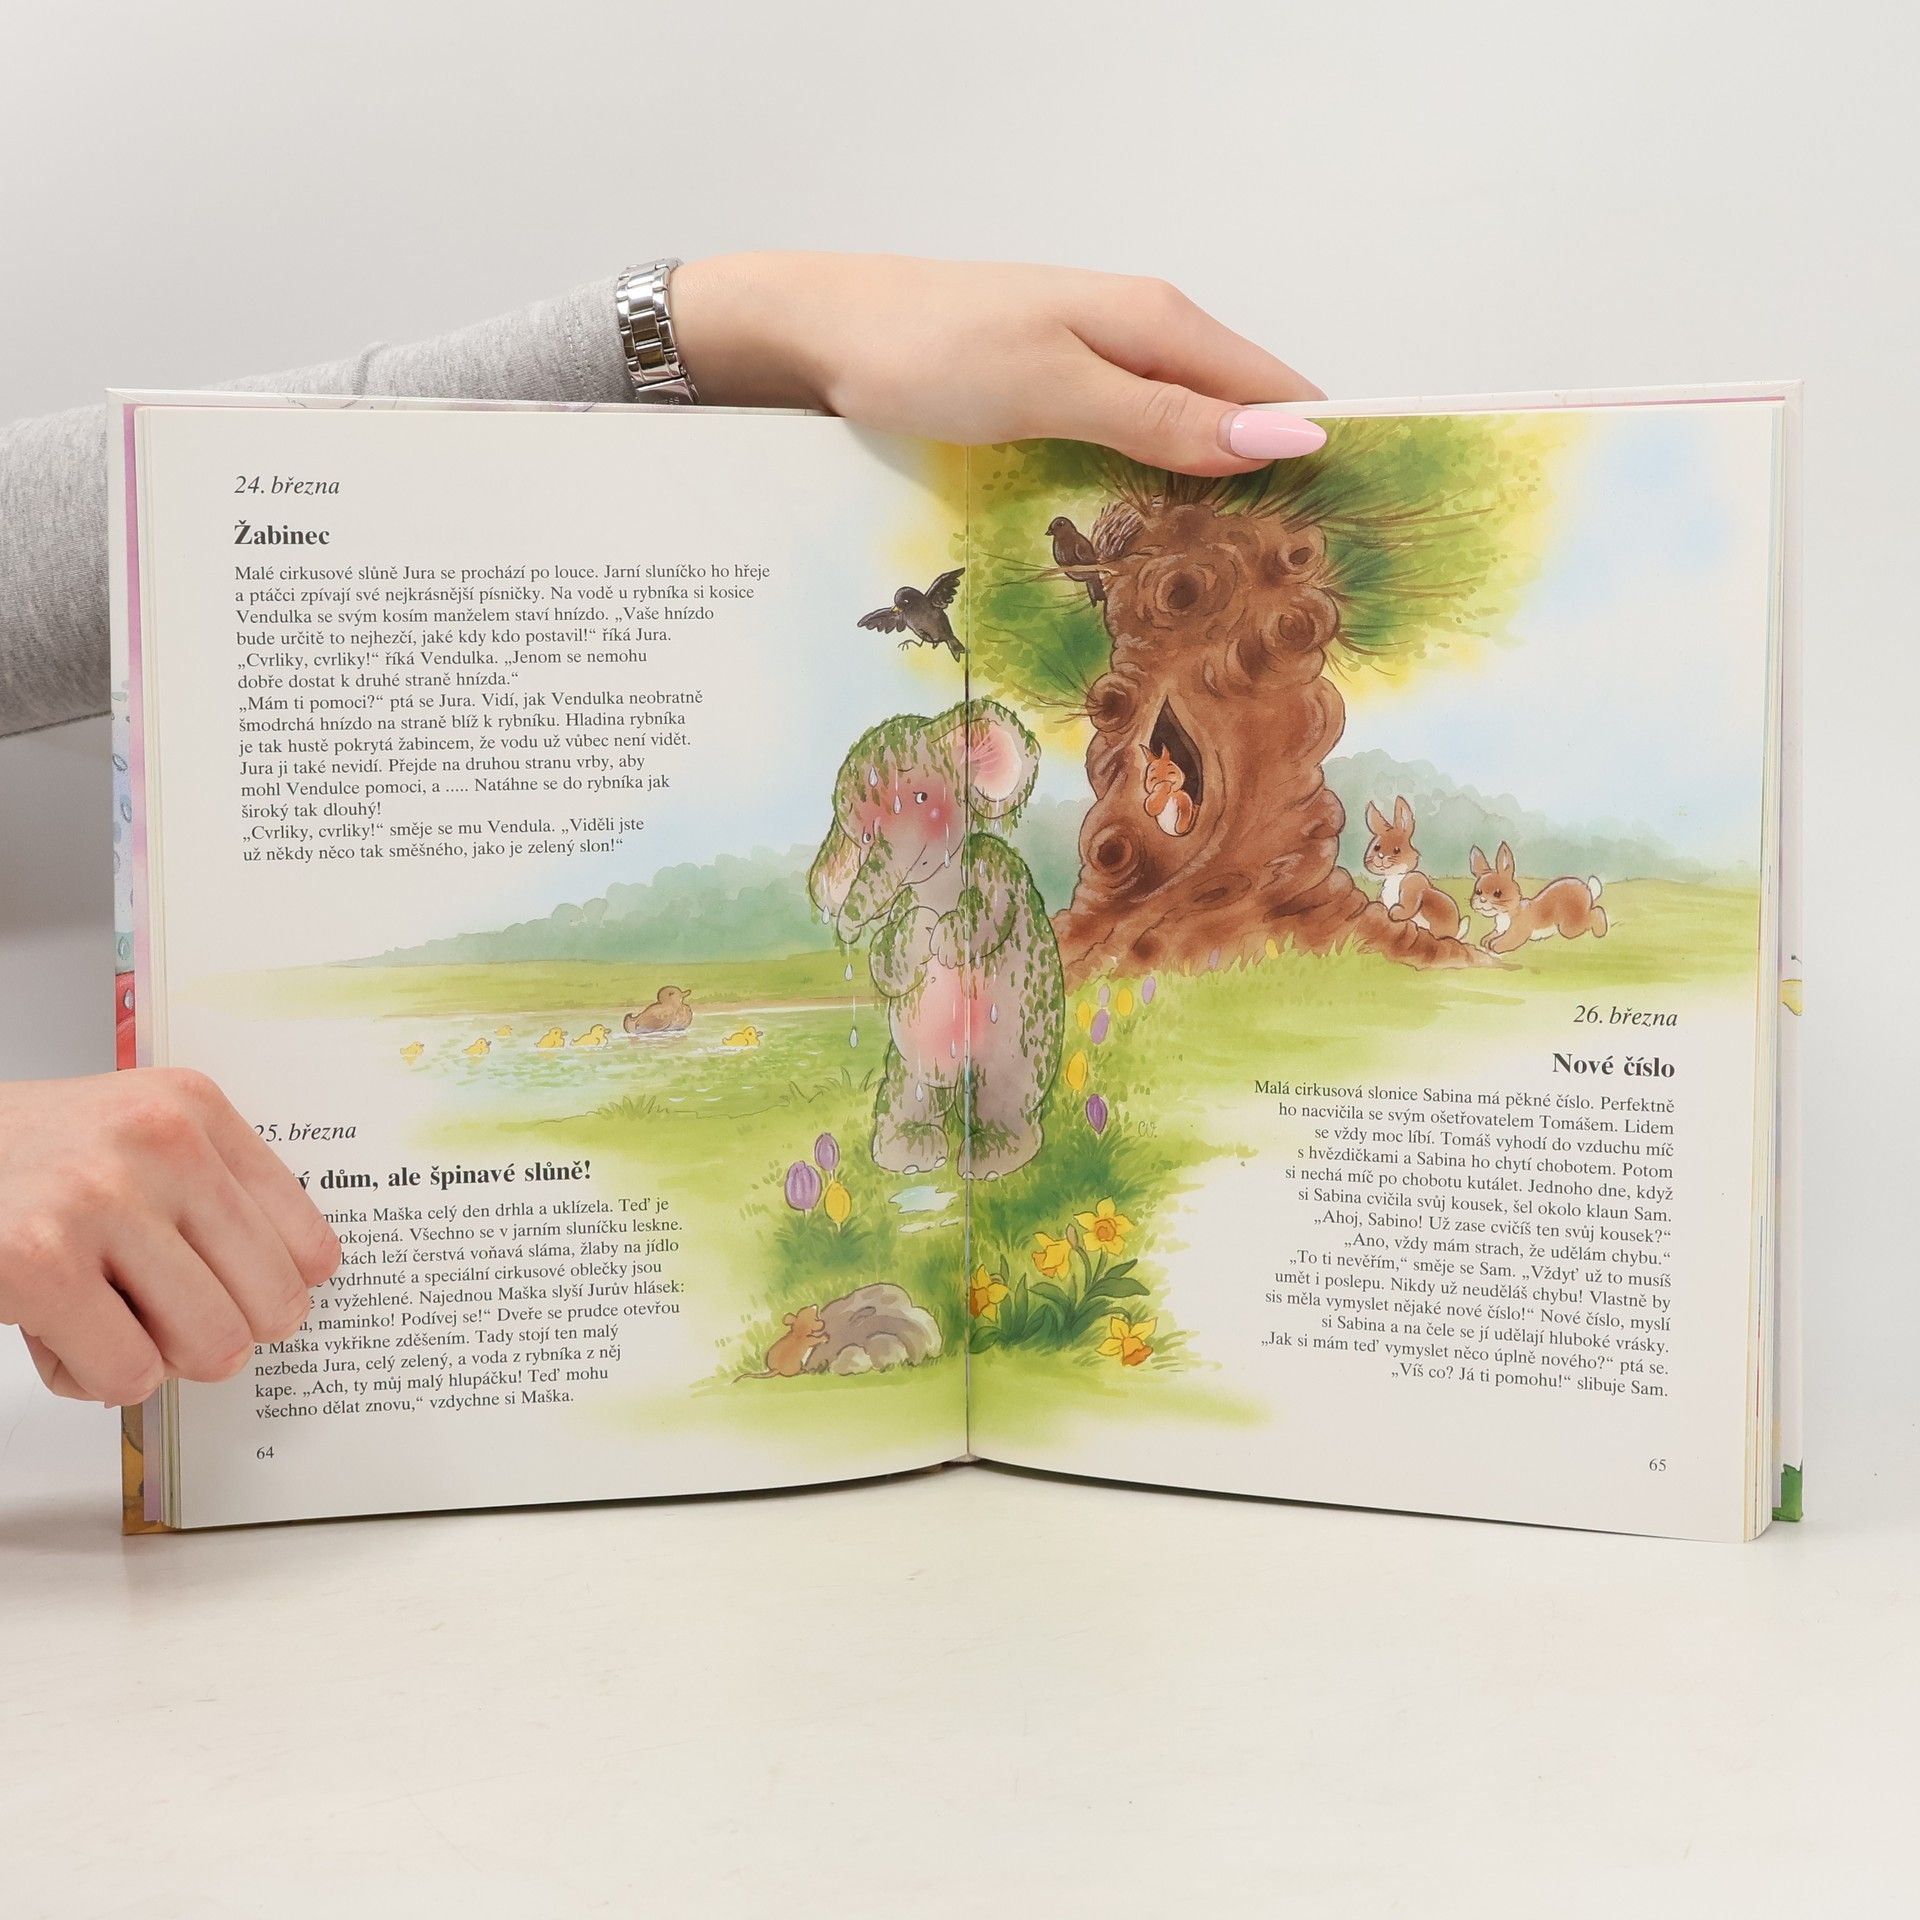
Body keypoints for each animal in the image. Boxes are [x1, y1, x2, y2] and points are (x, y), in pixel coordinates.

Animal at [1363, 796, 1461, 940]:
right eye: (1376, 847)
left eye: (1397, 850)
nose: (1381, 856)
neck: (1395, 876)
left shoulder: (1413, 885)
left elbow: (1408, 906)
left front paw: (1394, 913)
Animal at [1469, 842, 1607, 954]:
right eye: (1478, 891)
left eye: (1497, 893)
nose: (1482, 900)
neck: (1509, 912)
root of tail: (1588, 889)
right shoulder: (1499, 929)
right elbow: (1491, 936)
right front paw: (1486, 941)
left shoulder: (1519, 930)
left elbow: (1505, 941)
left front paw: (1494, 946)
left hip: (1569, 926)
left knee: (1596, 912)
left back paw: (1601, 932)